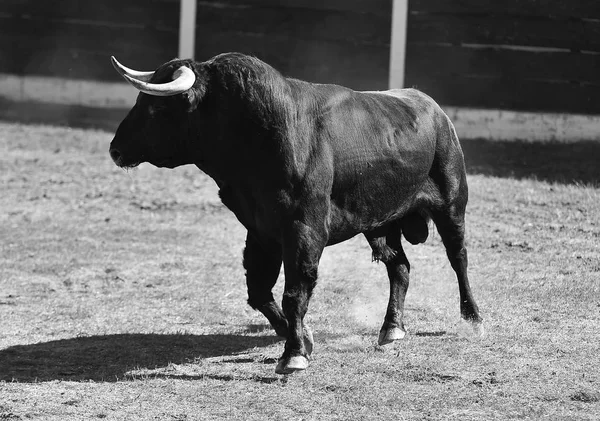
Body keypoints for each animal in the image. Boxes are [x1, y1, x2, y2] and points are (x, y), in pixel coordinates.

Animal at [108, 53, 482, 374]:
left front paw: (294, 354)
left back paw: (473, 318)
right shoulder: (260, 231)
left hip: (451, 205)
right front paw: (301, 337)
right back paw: (391, 328)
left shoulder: (303, 229)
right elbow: (259, 291)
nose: (114, 149)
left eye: (157, 105)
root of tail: (432, 107)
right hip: (380, 223)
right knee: (400, 267)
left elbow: (295, 291)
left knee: (458, 257)